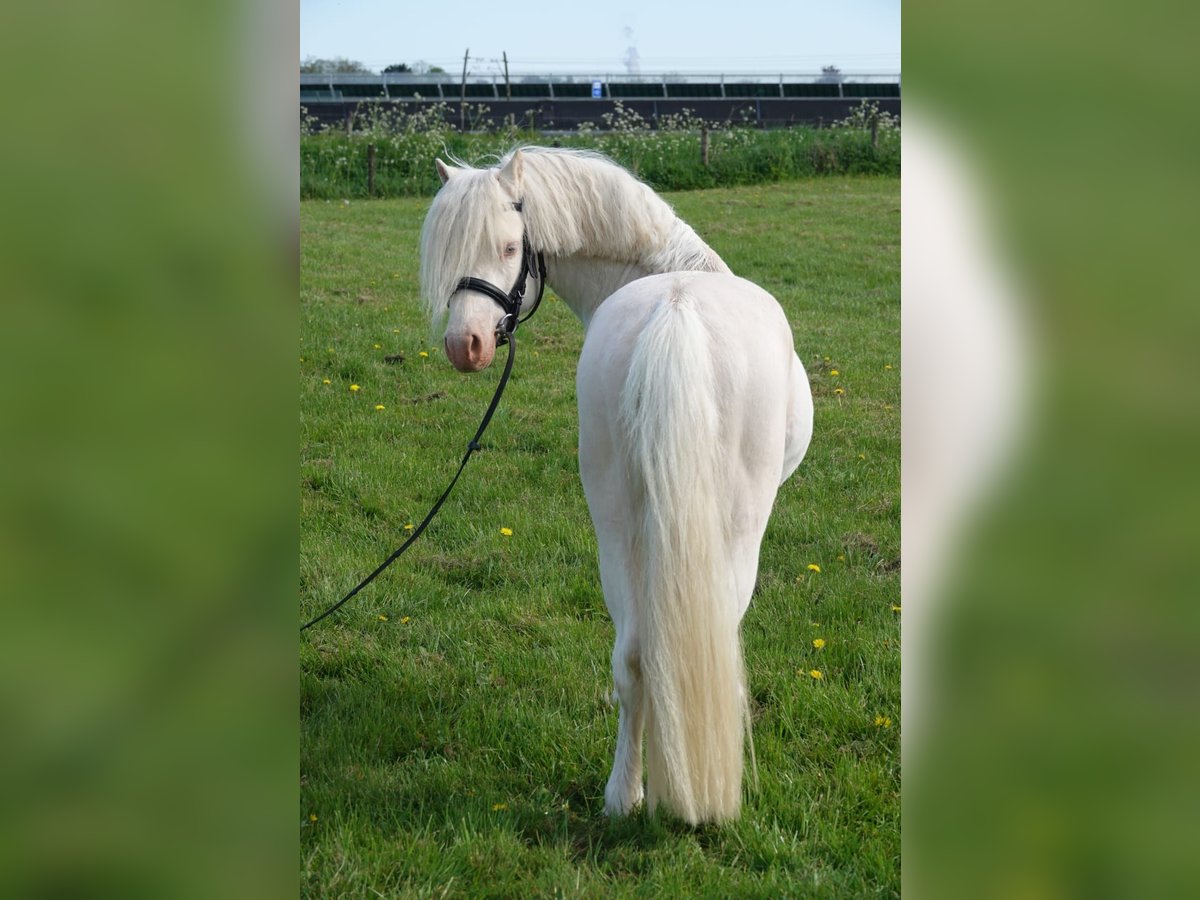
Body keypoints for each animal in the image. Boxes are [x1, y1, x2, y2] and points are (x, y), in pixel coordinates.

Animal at [419, 148, 813, 825]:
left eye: (508, 246)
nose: (463, 346)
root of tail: (677, 310)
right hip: (734, 535)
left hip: (615, 522)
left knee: (632, 658)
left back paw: (623, 797)